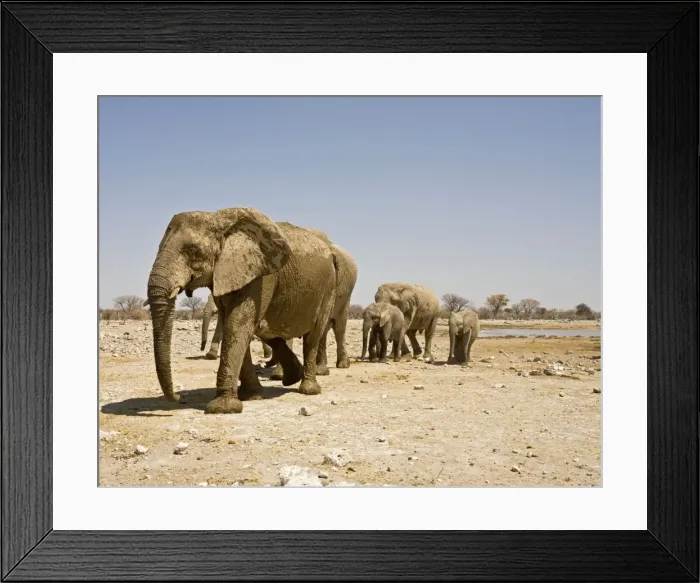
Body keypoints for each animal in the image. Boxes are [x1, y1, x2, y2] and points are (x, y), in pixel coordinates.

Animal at [146, 207, 337, 414]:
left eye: (193, 251)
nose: (178, 398)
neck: (218, 219)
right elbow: (234, 324)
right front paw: (251, 396)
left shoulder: (260, 276)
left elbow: (237, 323)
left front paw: (222, 408)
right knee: (268, 330)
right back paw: (291, 378)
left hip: (328, 288)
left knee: (312, 336)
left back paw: (308, 389)